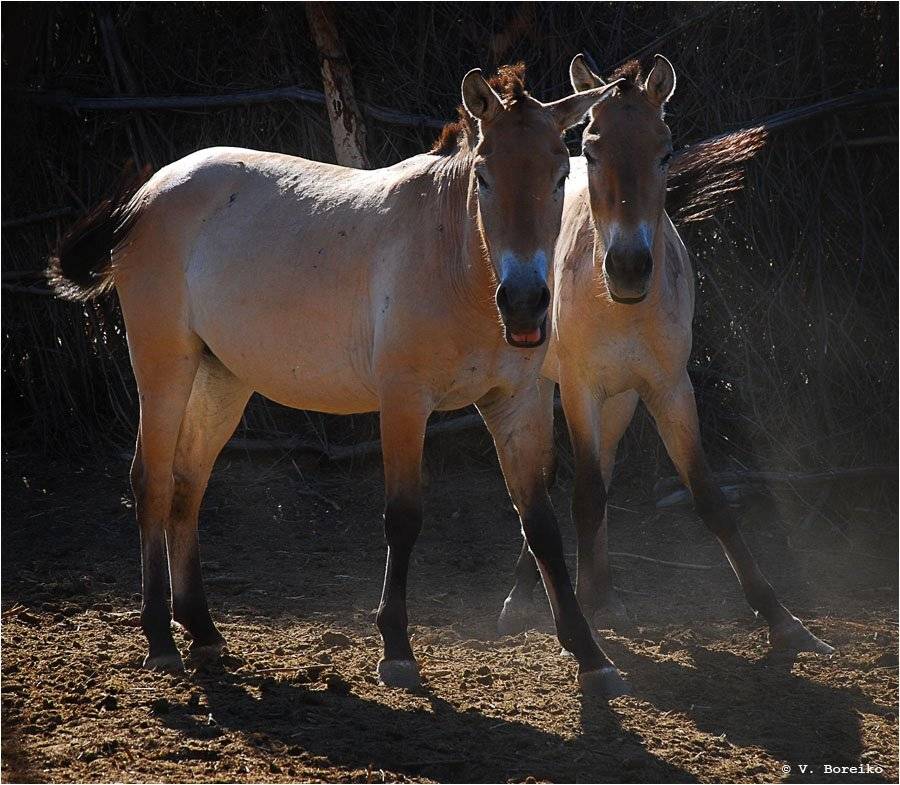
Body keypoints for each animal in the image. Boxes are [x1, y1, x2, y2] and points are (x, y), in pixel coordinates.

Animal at [49, 63, 633, 695]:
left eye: (560, 175)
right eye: (483, 176)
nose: (524, 304)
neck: (454, 259)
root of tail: (150, 193)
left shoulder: (517, 405)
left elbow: (541, 526)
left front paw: (592, 657)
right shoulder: (404, 402)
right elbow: (403, 517)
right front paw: (397, 650)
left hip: (221, 379)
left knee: (187, 484)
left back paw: (201, 628)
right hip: (164, 368)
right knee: (151, 482)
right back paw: (160, 638)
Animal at [497, 54, 834, 659]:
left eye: (665, 150)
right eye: (591, 149)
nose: (629, 267)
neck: (621, 306)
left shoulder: (669, 389)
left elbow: (708, 497)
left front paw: (785, 621)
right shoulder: (580, 389)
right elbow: (583, 495)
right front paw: (580, 618)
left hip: (621, 400)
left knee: (601, 475)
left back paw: (603, 595)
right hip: (545, 388)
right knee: (544, 479)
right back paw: (523, 598)